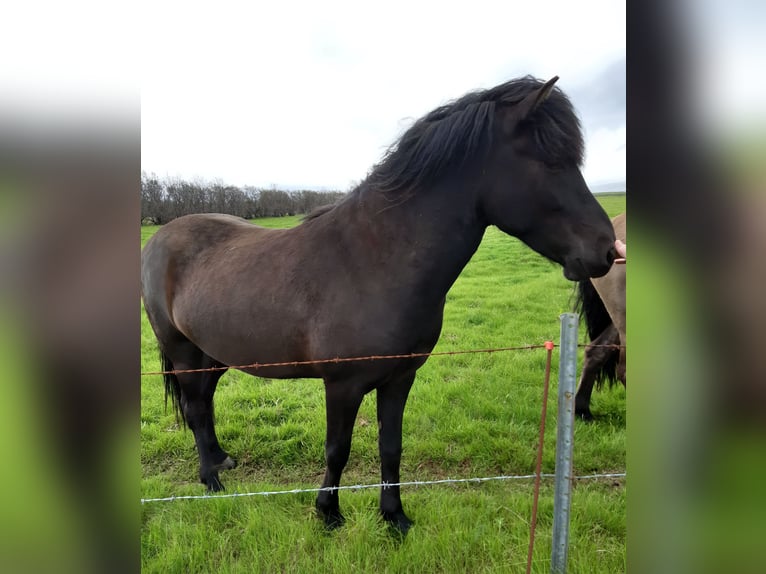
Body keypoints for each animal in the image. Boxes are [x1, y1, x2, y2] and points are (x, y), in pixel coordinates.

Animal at [140, 76, 616, 536]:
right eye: (551, 161)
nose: (607, 250)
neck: (374, 262)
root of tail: (159, 238)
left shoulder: (400, 378)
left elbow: (391, 447)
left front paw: (394, 518)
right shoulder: (343, 385)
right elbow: (338, 449)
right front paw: (329, 514)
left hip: (212, 354)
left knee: (203, 402)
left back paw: (221, 460)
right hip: (182, 351)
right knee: (195, 408)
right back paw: (211, 480)